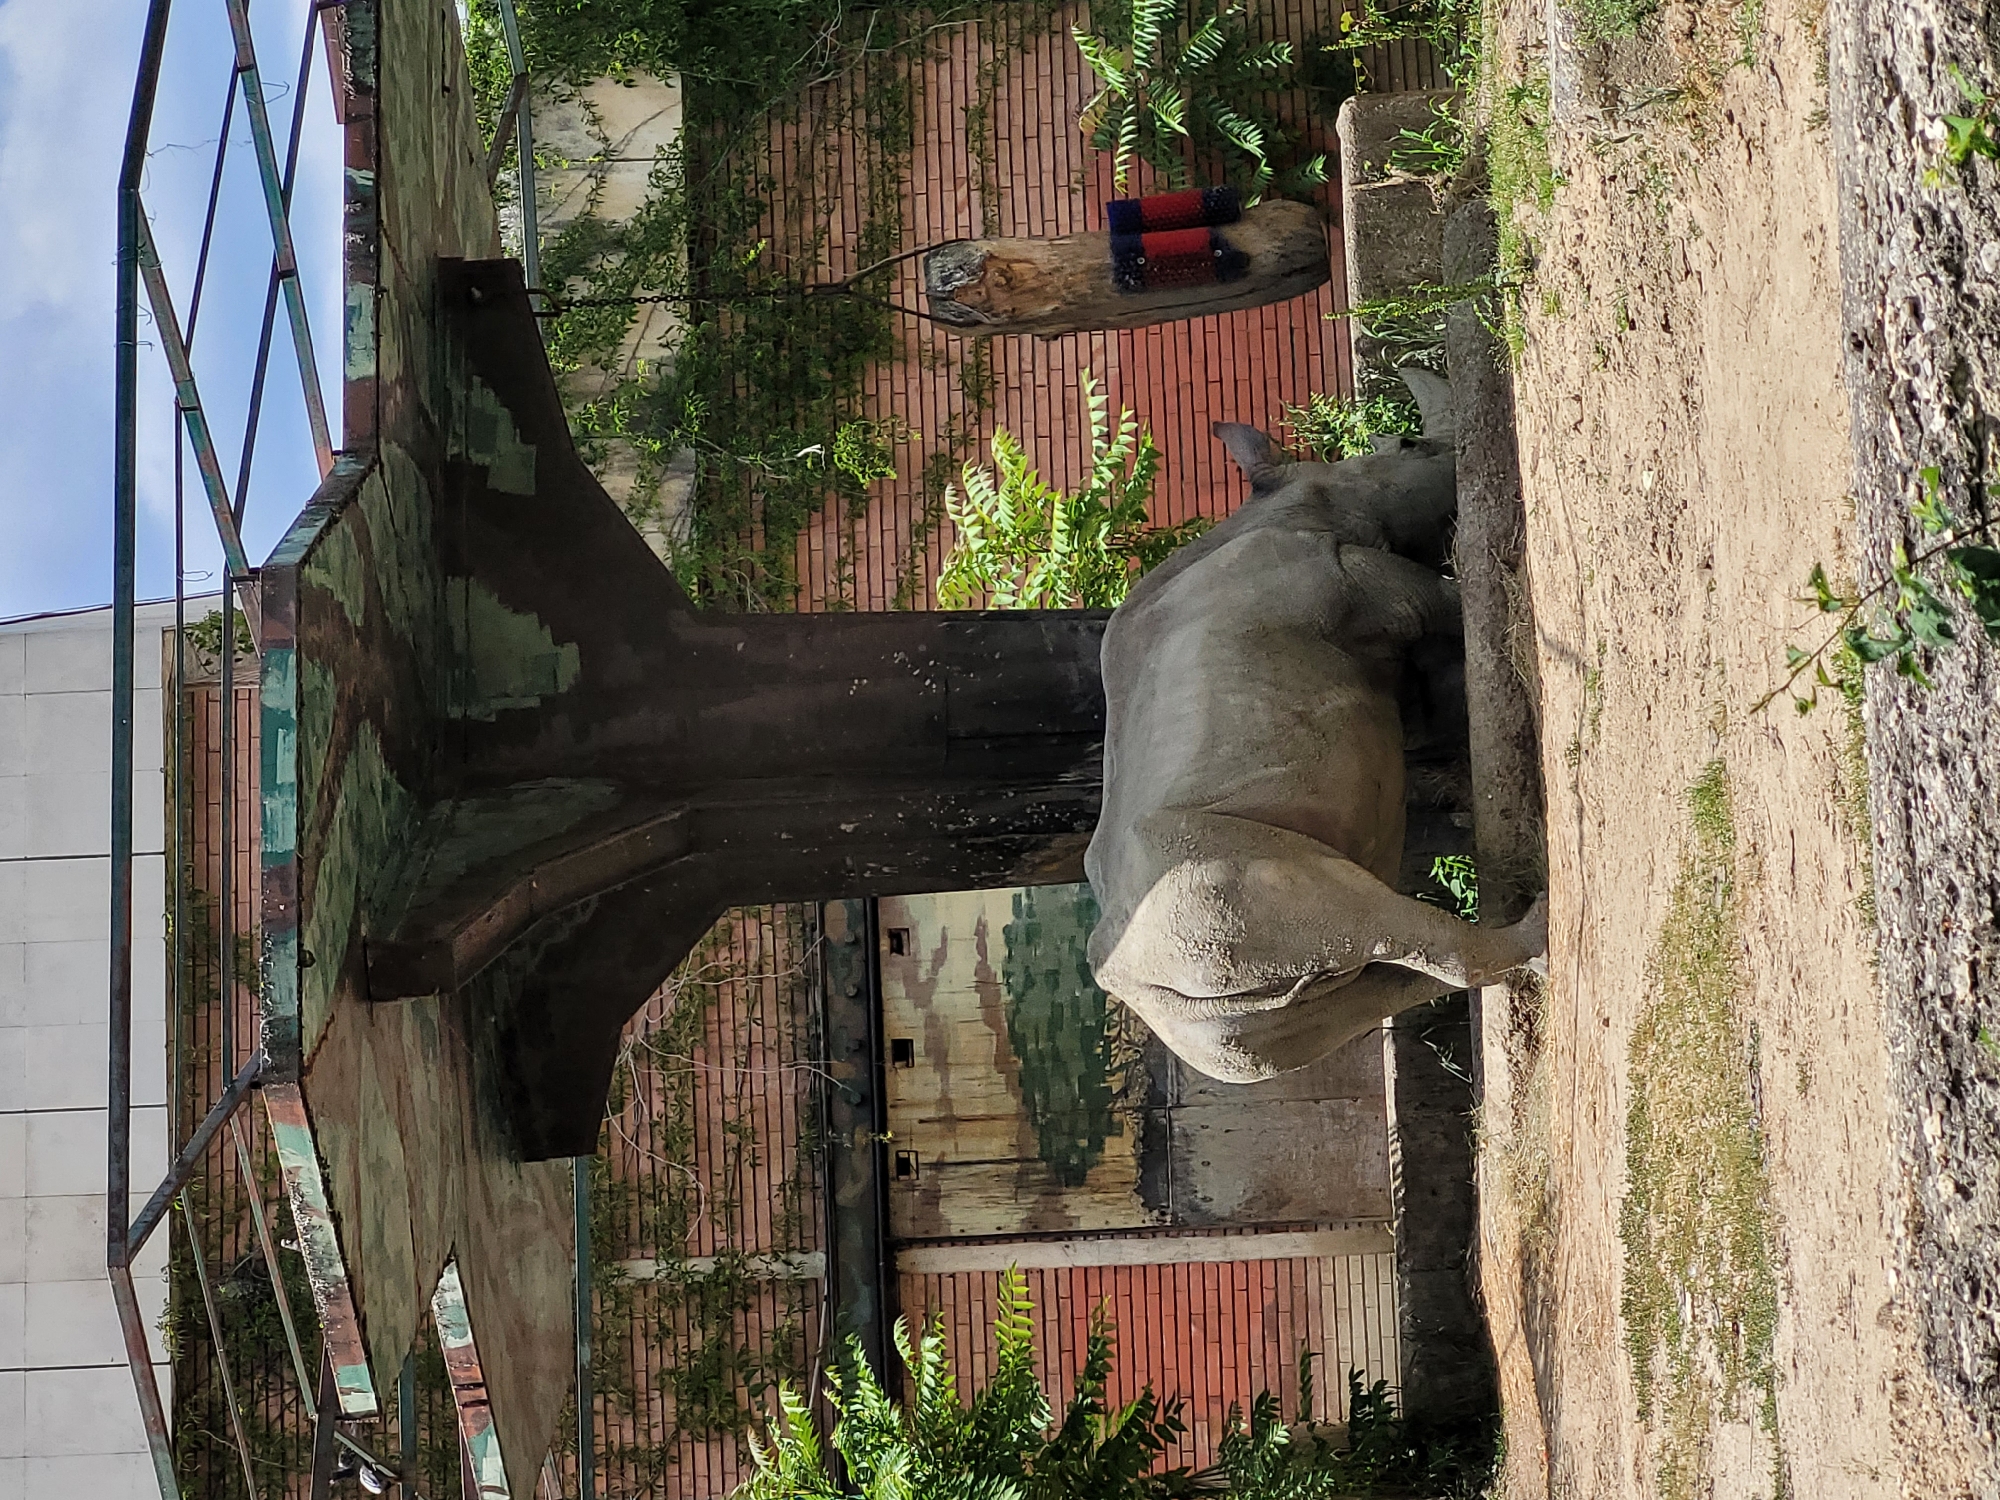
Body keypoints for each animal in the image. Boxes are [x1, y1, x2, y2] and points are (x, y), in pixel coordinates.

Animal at [1084, 374, 1547, 1084]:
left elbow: (1433, 728)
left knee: (1349, 992)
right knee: (1360, 917)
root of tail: (1136, 988)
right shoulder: (1365, 581)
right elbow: (1438, 598)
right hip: (1208, 900)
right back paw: (1548, 922)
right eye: (1408, 444)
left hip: (1210, 1025)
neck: (1291, 499)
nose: (1452, 456)